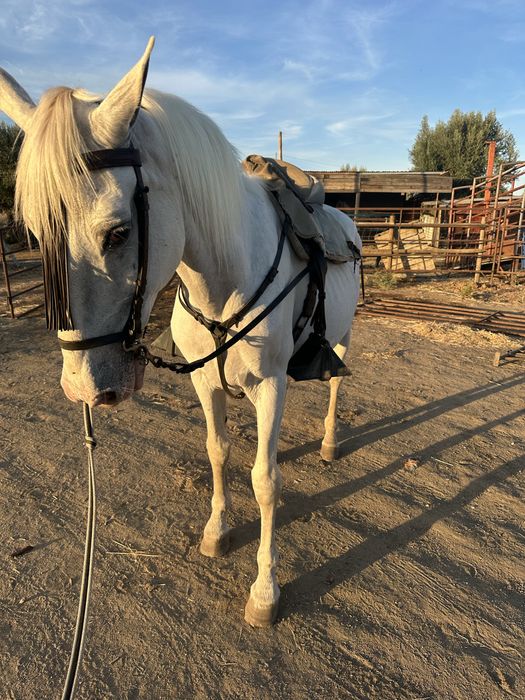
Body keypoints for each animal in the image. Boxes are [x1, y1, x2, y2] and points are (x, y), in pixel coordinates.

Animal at [0, 37, 361, 627]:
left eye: (119, 232)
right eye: (34, 232)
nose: (83, 389)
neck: (226, 276)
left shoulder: (271, 384)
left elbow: (265, 482)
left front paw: (265, 591)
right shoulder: (206, 382)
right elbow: (219, 451)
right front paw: (217, 531)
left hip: (343, 338)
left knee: (333, 384)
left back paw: (330, 442)